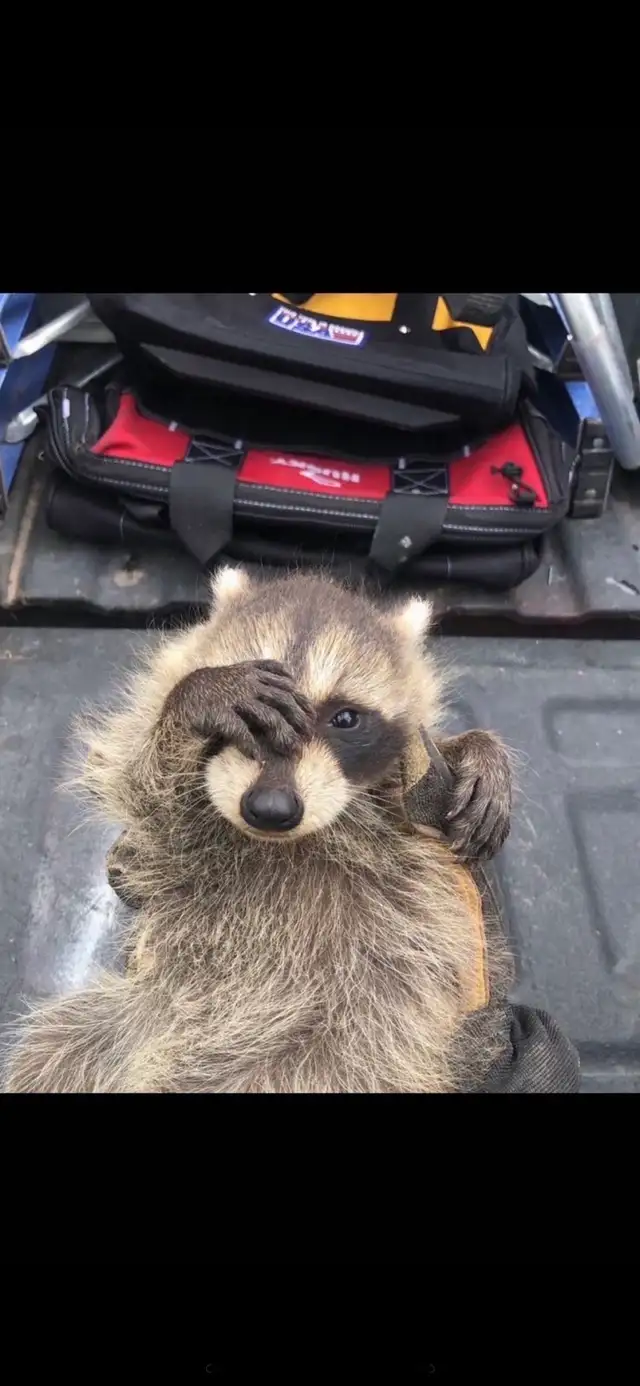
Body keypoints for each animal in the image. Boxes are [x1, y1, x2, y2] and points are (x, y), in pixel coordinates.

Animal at [3, 568, 513, 1094]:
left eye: (345, 718)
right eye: (250, 715)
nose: (270, 809)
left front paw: (478, 751)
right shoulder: (152, 802)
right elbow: (143, 786)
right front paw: (197, 699)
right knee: (54, 1051)